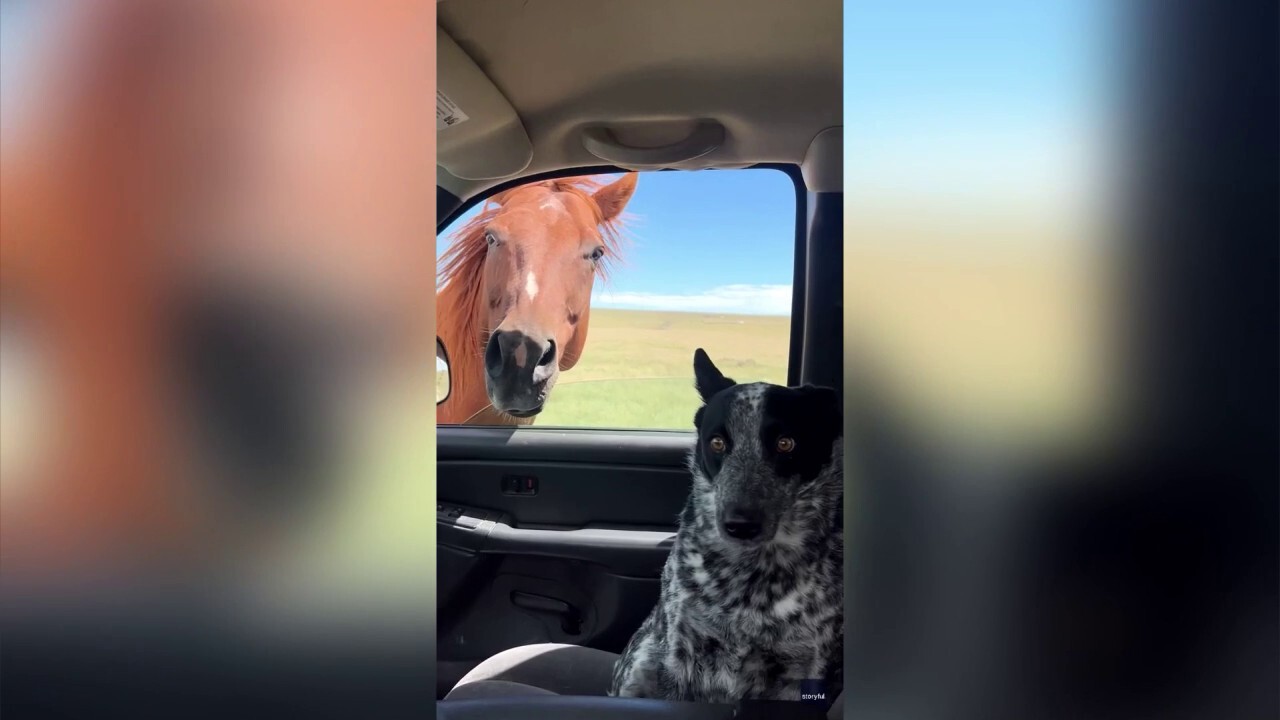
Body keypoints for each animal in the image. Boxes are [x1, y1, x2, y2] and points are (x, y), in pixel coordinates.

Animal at [606, 348, 844, 702]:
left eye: (786, 443)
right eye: (717, 443)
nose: (739, 524)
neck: (751, 579)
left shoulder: (806, 666)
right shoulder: (682, 653)